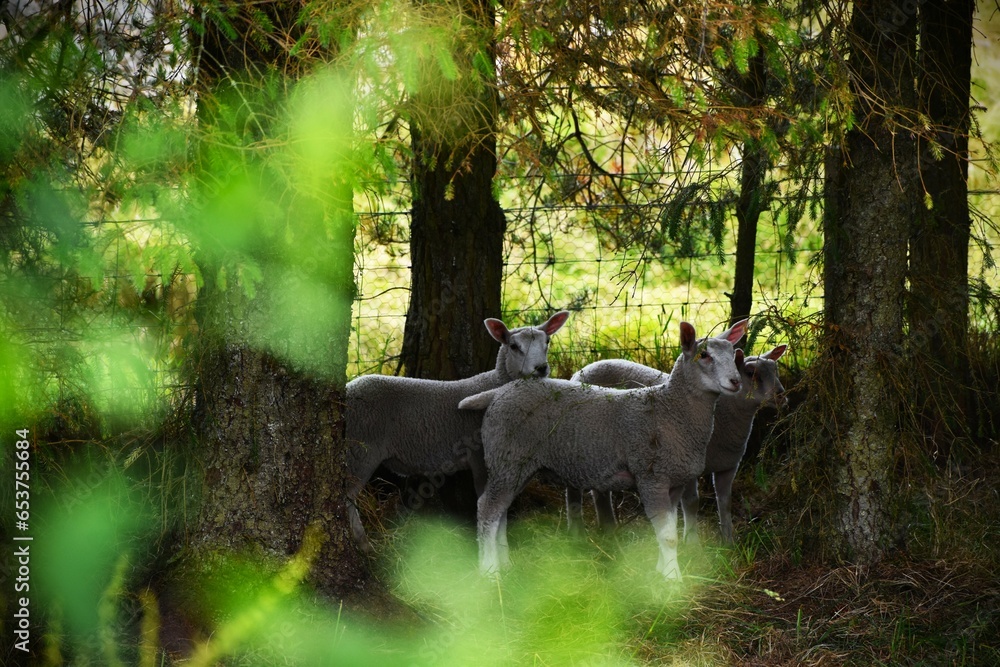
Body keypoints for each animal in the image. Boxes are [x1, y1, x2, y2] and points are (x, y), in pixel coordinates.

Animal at [345, 310, 570, 554]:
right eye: (513, 346)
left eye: (547, 342)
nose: (541, 368)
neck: (495, 383)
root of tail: (348, 389)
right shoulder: (481, 460)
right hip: (360, 452)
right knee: (346, 498)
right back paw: (364, 544)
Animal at [459, 319, 747, 580]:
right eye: (704, 355)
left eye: (733, 353)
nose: (736, 381)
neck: (671, 410)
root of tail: (499, 392)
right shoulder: (651, 477)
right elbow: (668, 537)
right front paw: (672, 582)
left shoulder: (674, 481)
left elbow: (668, 530)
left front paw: (661, 571)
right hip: (508, 456)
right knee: (487, 509)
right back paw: (489, 571)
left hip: (514, 464)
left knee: (500, 512)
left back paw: (505, 563)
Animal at [570, 344, 787, 543]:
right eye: (751, 373)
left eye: (775, 370)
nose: (781, 395)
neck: (723, 417)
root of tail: (586, 368)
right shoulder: (686, 466)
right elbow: (691, 503)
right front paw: (692, 544)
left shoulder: (728, 465)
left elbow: (725, 503)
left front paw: (728, 543)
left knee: (599, 491)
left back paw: (607, 528)